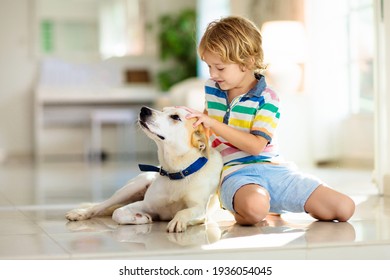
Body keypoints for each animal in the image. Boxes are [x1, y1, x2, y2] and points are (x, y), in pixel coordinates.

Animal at [67, 106, 222, 233]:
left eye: (175, 117)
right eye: (163, 110)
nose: (144, 109)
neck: (176, 172)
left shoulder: (201, 210)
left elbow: (185, 212)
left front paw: (178, 221)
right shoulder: (146, 204)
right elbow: (117, 212)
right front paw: (140, 218)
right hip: (132, 187)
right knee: (102, 206)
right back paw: (81, 213)